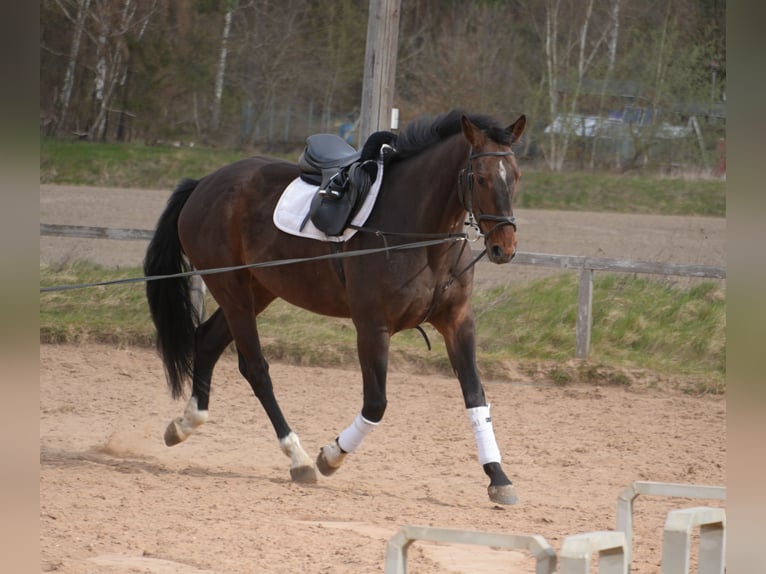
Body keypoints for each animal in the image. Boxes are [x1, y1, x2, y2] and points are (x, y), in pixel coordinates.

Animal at [143, 109, 526, 505]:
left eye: (515, 176)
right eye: (479, 178)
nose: (504, 247)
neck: (421, 238)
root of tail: (205, 183)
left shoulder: (458, 321)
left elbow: (475, 396)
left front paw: (498, 476)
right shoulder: (373, 327)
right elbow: (375, 404)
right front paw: (331, 456)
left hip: (258, 289)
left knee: (207, 341)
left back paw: (185, 424)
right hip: (231, 288)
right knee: (256, 368)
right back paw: (297, 457)